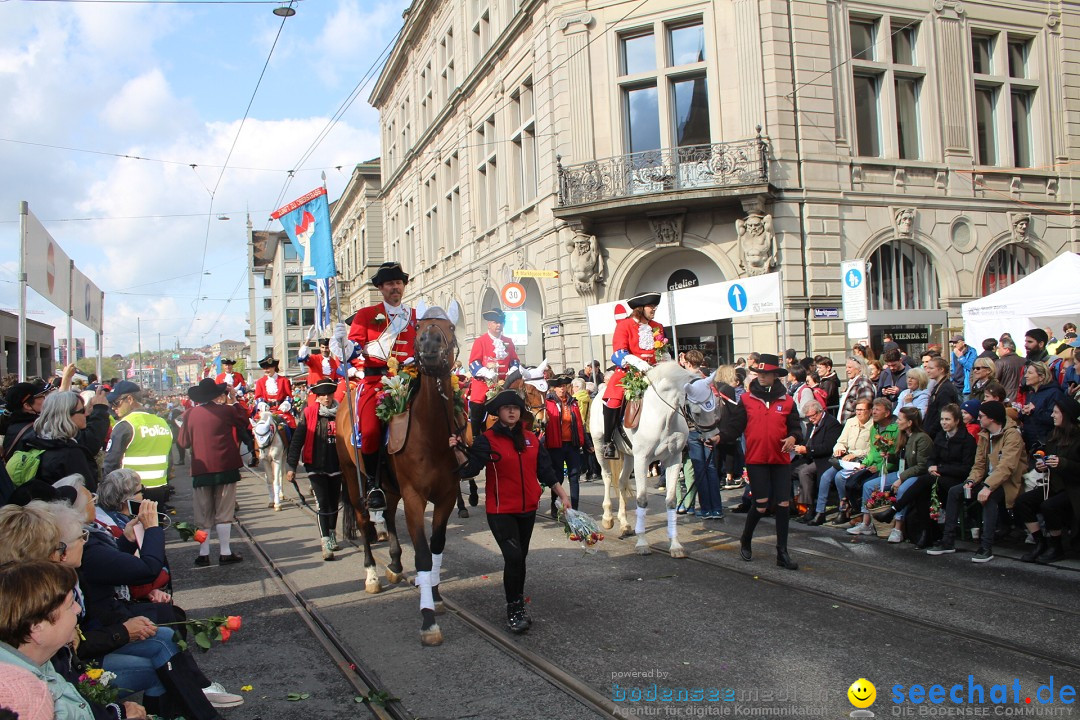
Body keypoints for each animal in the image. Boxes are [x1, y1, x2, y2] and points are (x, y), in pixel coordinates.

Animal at [332, 310, 460, 647]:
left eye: (450, 326)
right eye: (419, 328)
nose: (429, 345)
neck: (432, 435)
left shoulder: (447, 497)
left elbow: (437, 547)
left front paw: (436, 595)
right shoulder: (415, 497)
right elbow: (424, 556)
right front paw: (428, 621)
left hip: (389, 487)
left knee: (388, 515)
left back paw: (394, 563)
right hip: (353, 479)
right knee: (365, 523)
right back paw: (372, 575)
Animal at [587, 362, 721, 561]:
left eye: (716, 406)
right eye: (697, 412)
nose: (713, 439)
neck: (663, 415)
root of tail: (600, 391)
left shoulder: (674, 459)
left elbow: (671, 501)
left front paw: (675, 546)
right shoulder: (642, 460)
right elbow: (642, 500)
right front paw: (642, 543)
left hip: (629, 455)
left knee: (621, 481)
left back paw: (625, 523)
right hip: (599, 447)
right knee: (607, 476)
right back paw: (608, 518)